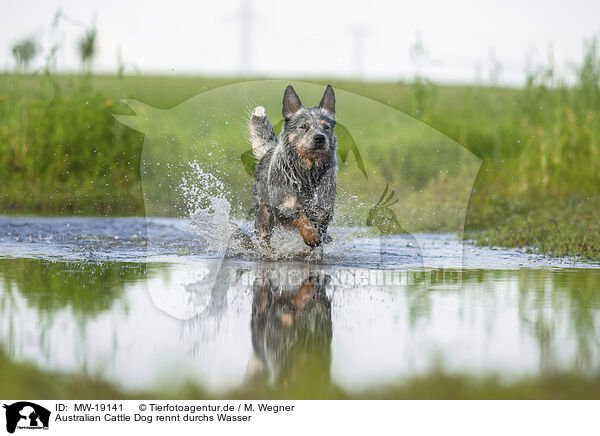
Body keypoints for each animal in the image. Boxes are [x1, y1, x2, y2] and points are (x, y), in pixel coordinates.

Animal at [248, 86, 338, 249]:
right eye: (303, 126)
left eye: (326, 127)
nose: (319, 138)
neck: (308, 173)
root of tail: (269, 150)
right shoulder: (282, 207)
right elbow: (299, 215)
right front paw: (311, 236)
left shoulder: (324, 210)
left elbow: (319, 226)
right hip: (264, 216)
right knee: (264, 237)